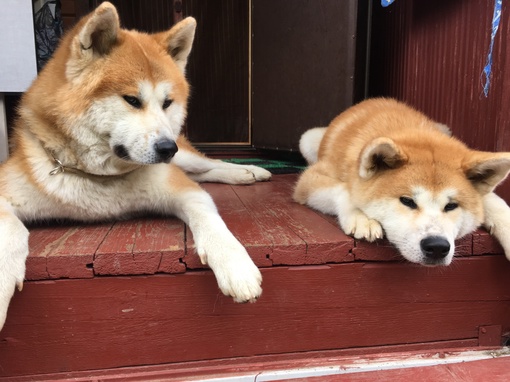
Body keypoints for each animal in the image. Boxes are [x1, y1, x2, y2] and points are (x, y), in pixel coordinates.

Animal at [294, 97, 510, 266]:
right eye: (407, 201)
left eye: (451, 206)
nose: (437, 247)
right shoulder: (308, 180)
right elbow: (343, 189)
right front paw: (362, 217)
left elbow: (494, 201)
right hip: (307, 139)